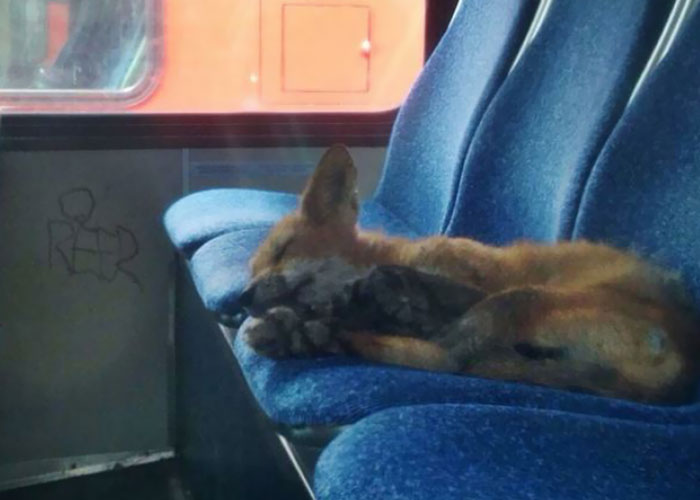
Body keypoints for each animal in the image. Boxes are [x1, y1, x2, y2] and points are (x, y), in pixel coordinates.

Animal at [240, 144, 700, 403]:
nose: (241, 299)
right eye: (253, 269)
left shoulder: (472, 280)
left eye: (284, 249)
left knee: (449, 359)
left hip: (517, 300)